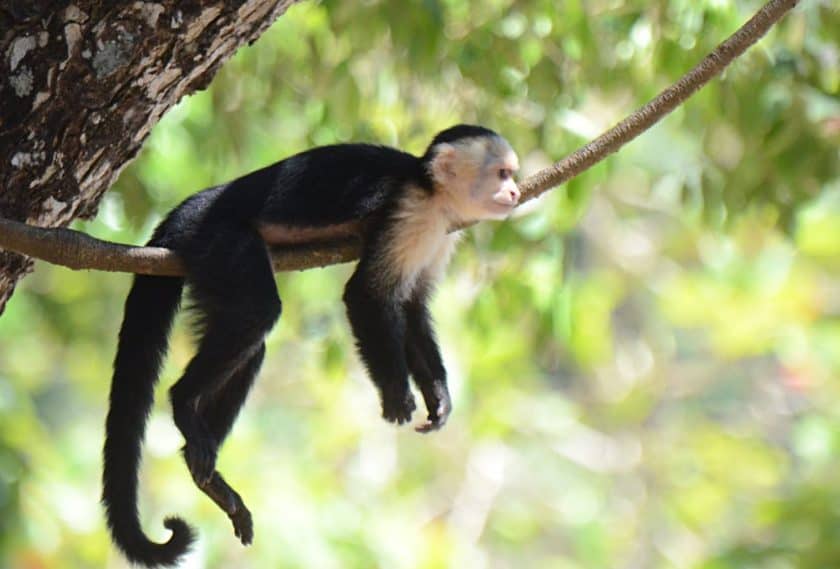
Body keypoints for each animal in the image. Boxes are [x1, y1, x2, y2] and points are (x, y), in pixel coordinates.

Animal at [101, 124, 520, 567]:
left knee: (251, 343)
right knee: (258, 313)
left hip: (208, 264)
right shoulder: (412, 213)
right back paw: (182, 402)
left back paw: (209, 477)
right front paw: (396, 393)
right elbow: (367, 294)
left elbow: (412, 306)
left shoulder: (441, 232)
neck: (432, 191)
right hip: (219, 237)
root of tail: (198, 204)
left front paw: (438, 396)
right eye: (501, 174)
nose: (514, 192)